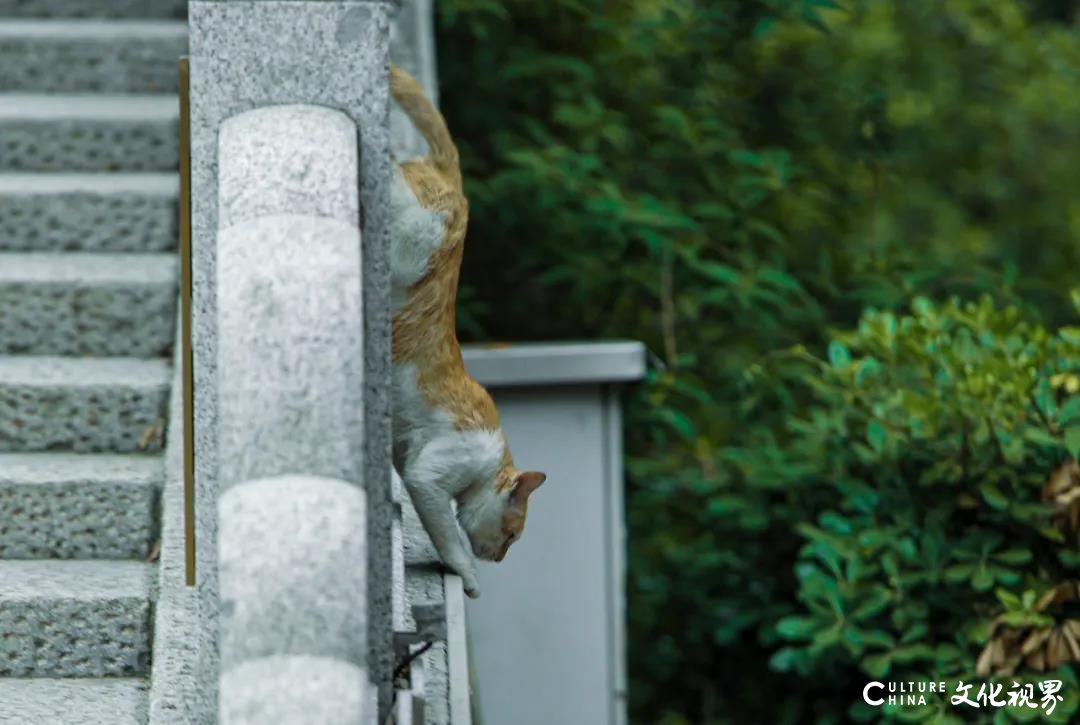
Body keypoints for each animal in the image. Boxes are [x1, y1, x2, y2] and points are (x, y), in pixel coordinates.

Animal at [386, 66, 544, 600]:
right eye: (513, 537)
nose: (500, 557)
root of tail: (454, 178)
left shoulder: (407, 460)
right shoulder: (430, 477)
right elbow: (449, 540)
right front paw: (470, 578)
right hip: (419, 236)